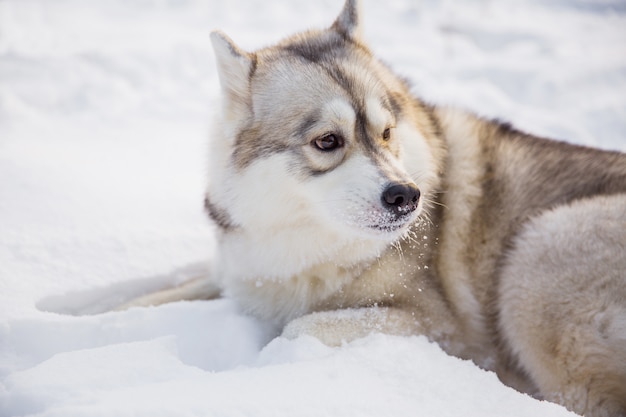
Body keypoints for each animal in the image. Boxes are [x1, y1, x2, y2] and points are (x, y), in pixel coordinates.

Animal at [123, 1, 624, 414]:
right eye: (327, 141)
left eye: (386, 134)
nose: (406, 196)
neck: (311, 249)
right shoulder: (240, 269)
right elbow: (145, 296)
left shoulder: (442, 329)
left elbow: (298, 327)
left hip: (538, 254)